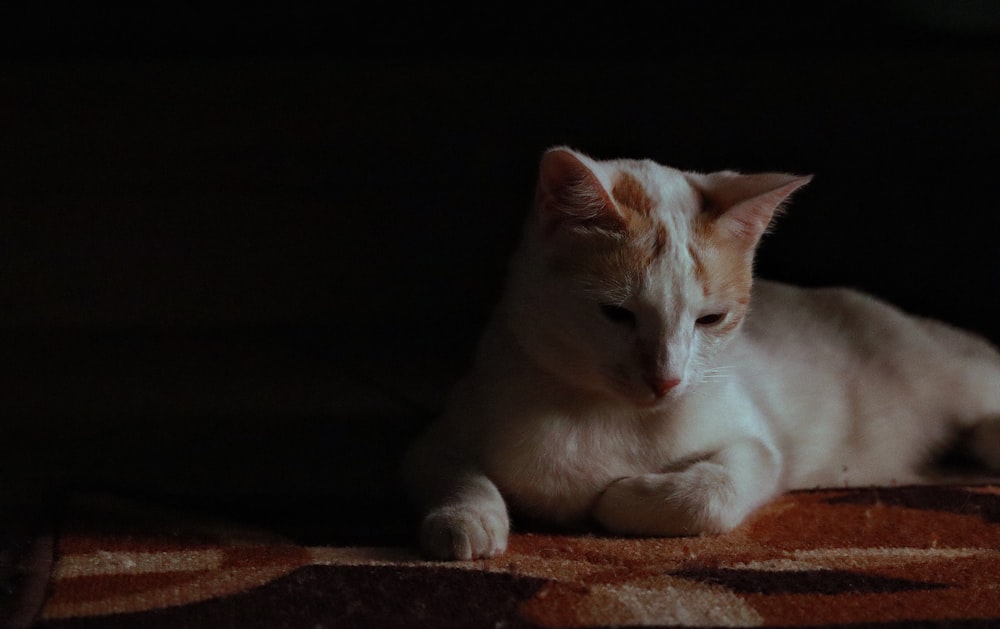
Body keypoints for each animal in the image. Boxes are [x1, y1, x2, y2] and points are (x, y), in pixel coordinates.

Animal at [400, 146, 1000, 560]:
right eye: (617, 314)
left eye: (710, 319)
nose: (666, 380)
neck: (606, 416)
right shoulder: (439, 435)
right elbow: (455, 471)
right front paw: (466, 522)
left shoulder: (760, 448)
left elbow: (711, 493)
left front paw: (616, 500)